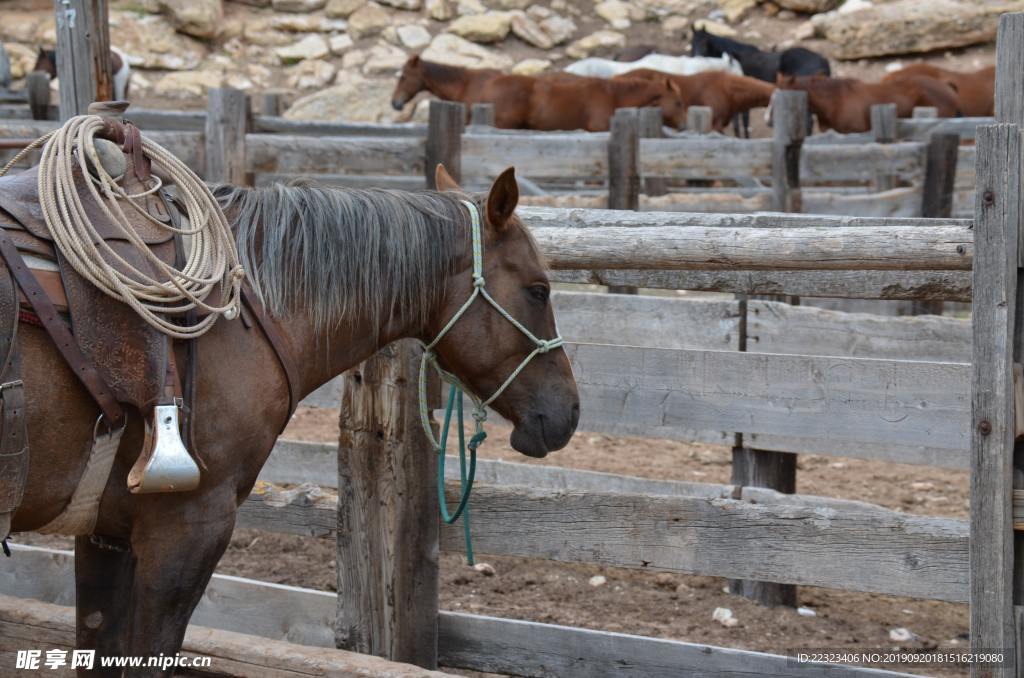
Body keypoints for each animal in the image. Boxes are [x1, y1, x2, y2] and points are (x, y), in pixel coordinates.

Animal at [692, 27, 827, 136]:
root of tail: (823, 61)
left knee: (808, 121)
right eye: (692, 42)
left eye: (705, 43)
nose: (695, 56)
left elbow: (743, 119)